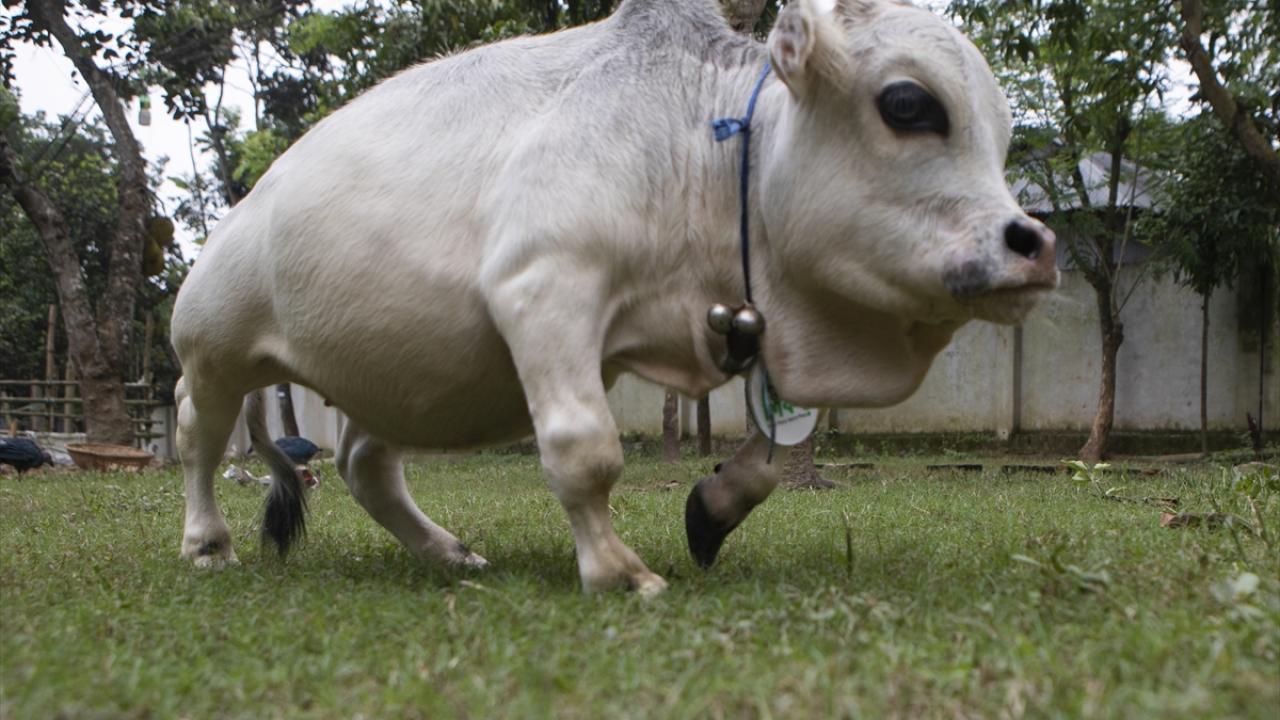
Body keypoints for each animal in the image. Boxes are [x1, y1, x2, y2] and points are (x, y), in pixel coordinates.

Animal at [170, 0, 1057, 595]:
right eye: (909, 104)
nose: (1034, 246)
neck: (699, 140)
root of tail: (251, 197)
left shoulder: (747, 327)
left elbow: (775, 450)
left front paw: (712, 508)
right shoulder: (545, 285)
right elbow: (583, 450)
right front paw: (617, 571)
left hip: (389, 371)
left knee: (363, 463)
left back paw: (448, 553)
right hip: (213, 348)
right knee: (199, 434)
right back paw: (207, 543)